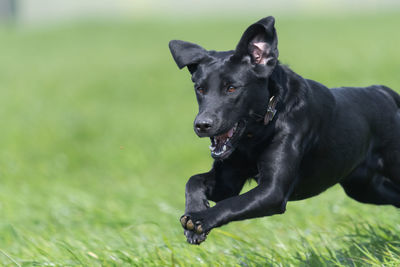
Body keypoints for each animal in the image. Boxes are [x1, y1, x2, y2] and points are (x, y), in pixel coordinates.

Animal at [168, 16, 400, 246]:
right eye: (200, 89)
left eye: (231, 88)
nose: (202, 125)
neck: (256, 134)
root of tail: (386, 93)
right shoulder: (228, 181)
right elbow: (193, 181)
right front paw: (194, 217)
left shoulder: (273, 191)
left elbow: (231, 204)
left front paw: (200, 219)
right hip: (364, 188)